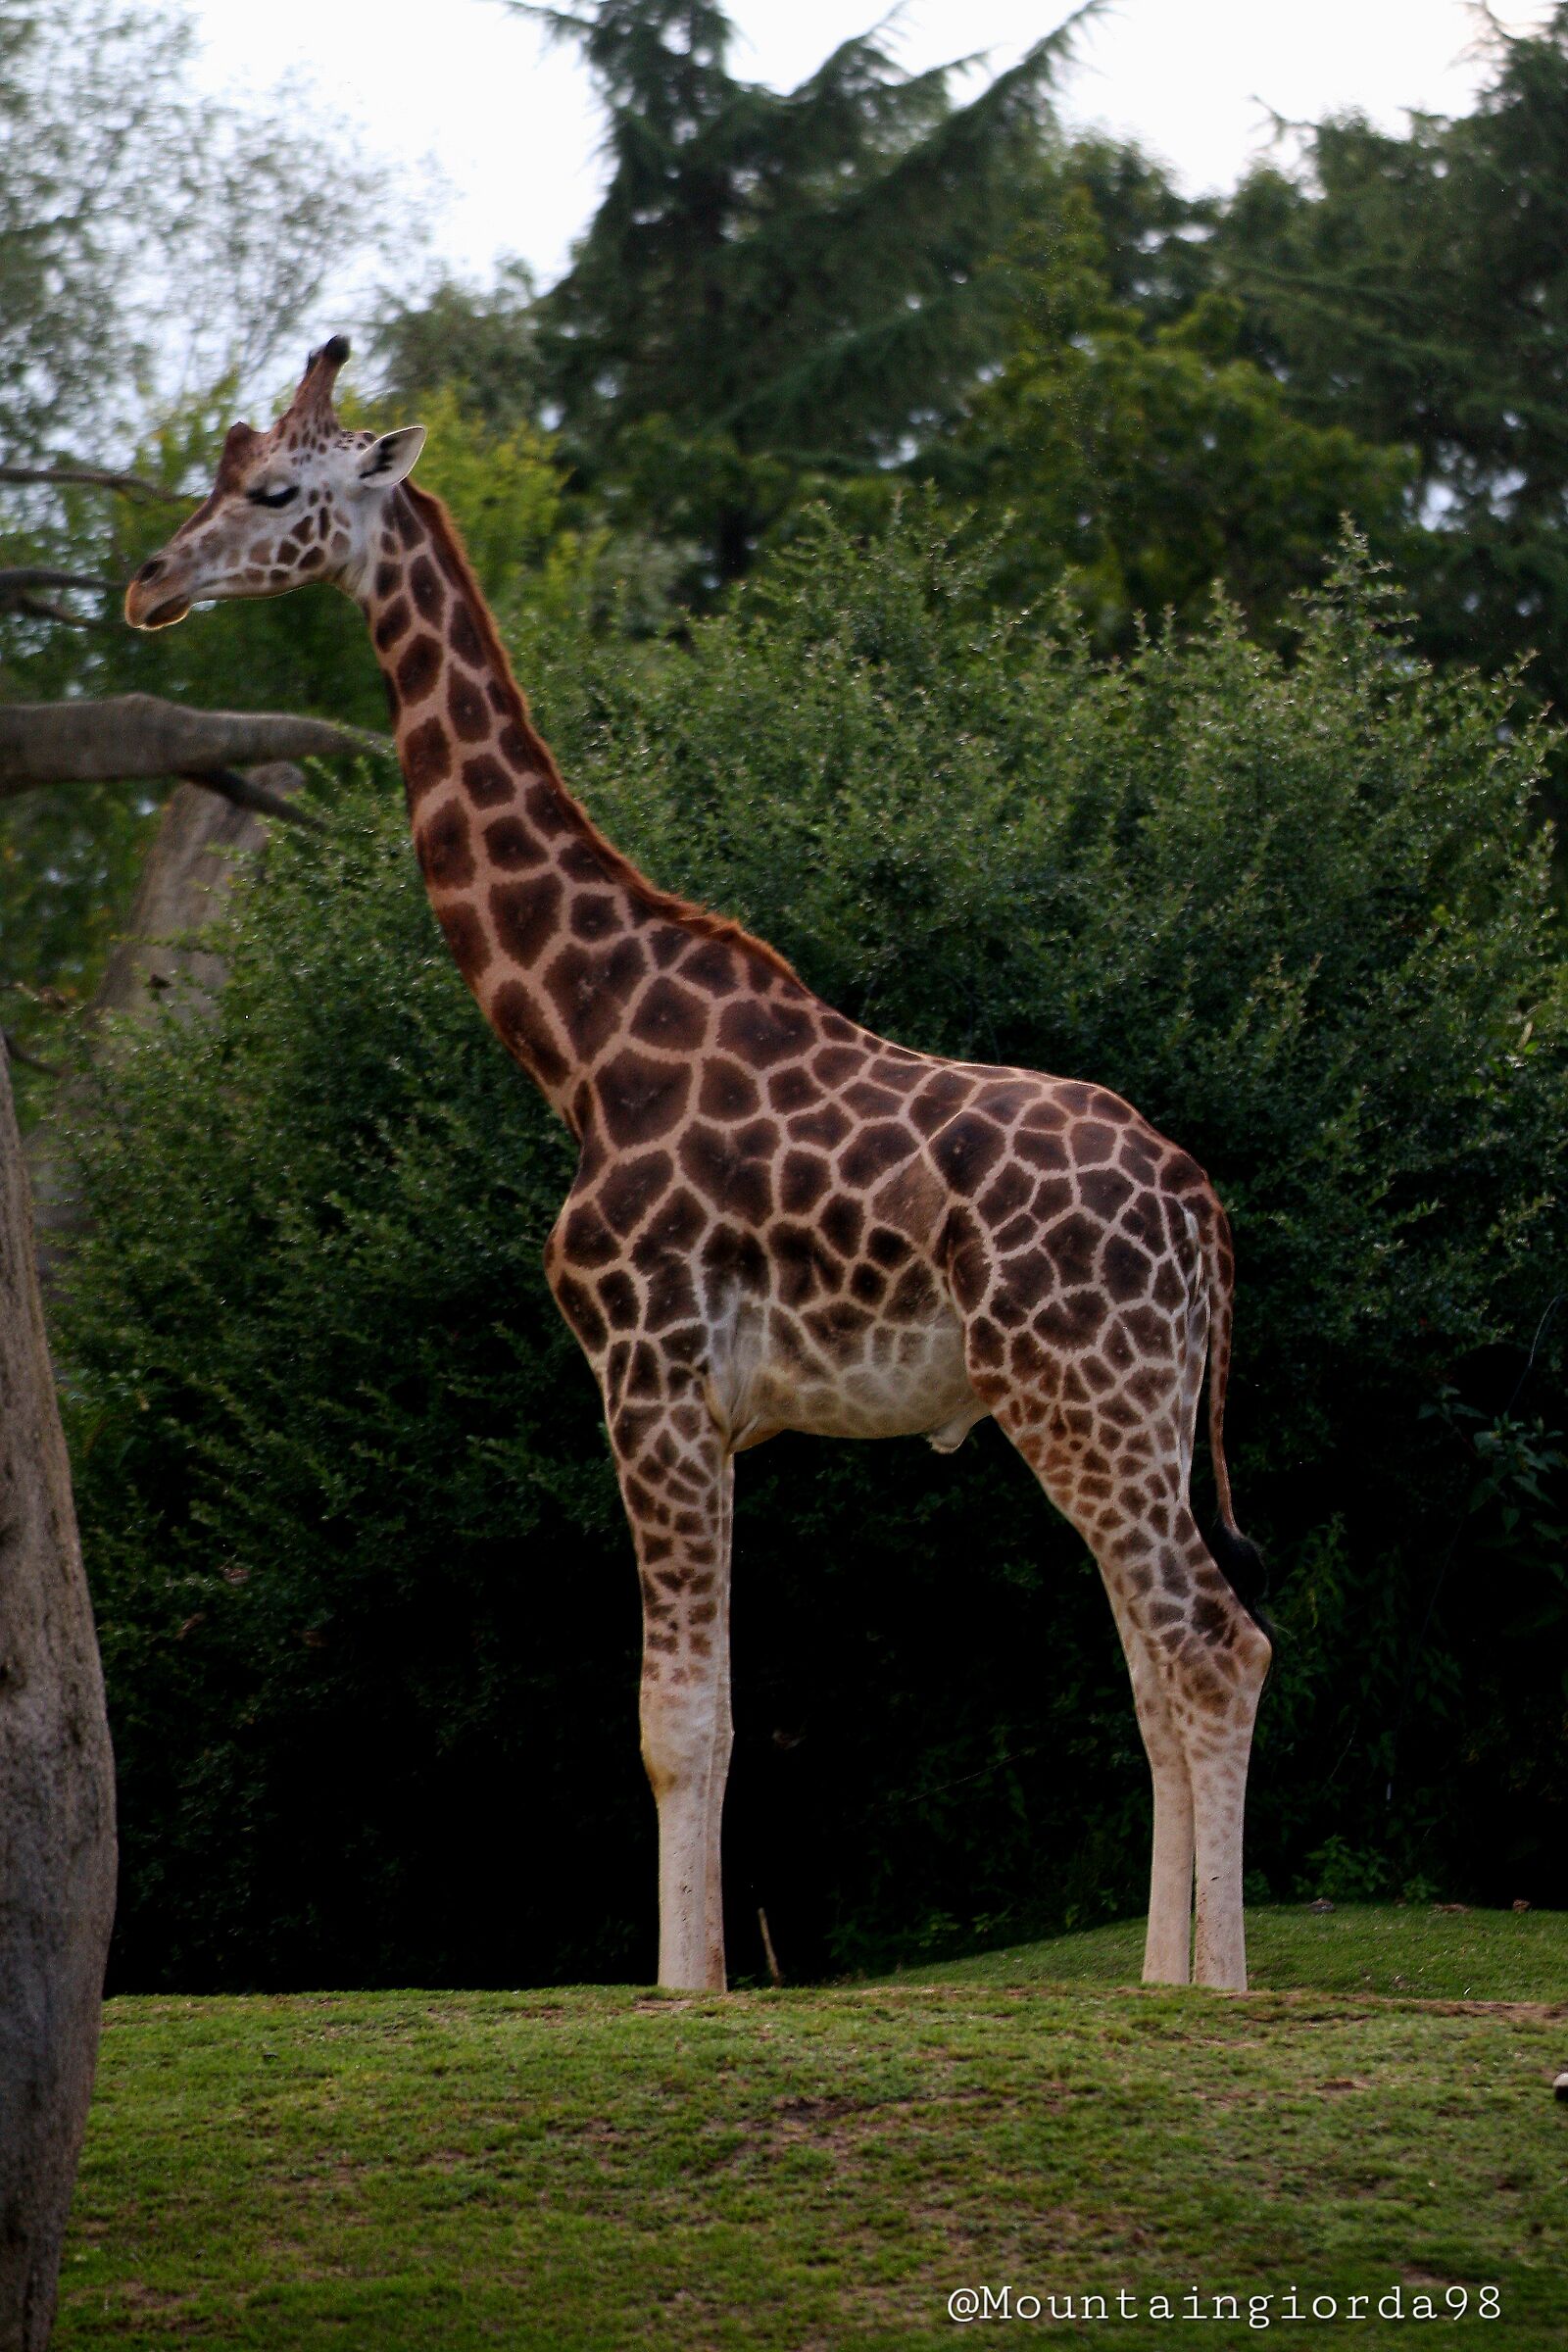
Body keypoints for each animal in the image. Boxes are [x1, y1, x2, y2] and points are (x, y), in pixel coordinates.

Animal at [126, 339, 1272, 1995]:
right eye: (217, 469)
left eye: (276, 490)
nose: (149, 584)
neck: (587, 1042)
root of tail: (1200, 1208)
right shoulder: (710, 1408)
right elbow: (710, 1716)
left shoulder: (647, 1373)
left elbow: (675, 1725)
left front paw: (685, 1997)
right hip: (1125, 1410)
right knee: (1158, 1665)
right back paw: (1160, 1988)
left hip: (1088, 1398)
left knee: (1214, 1645)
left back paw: (1224, 1995)